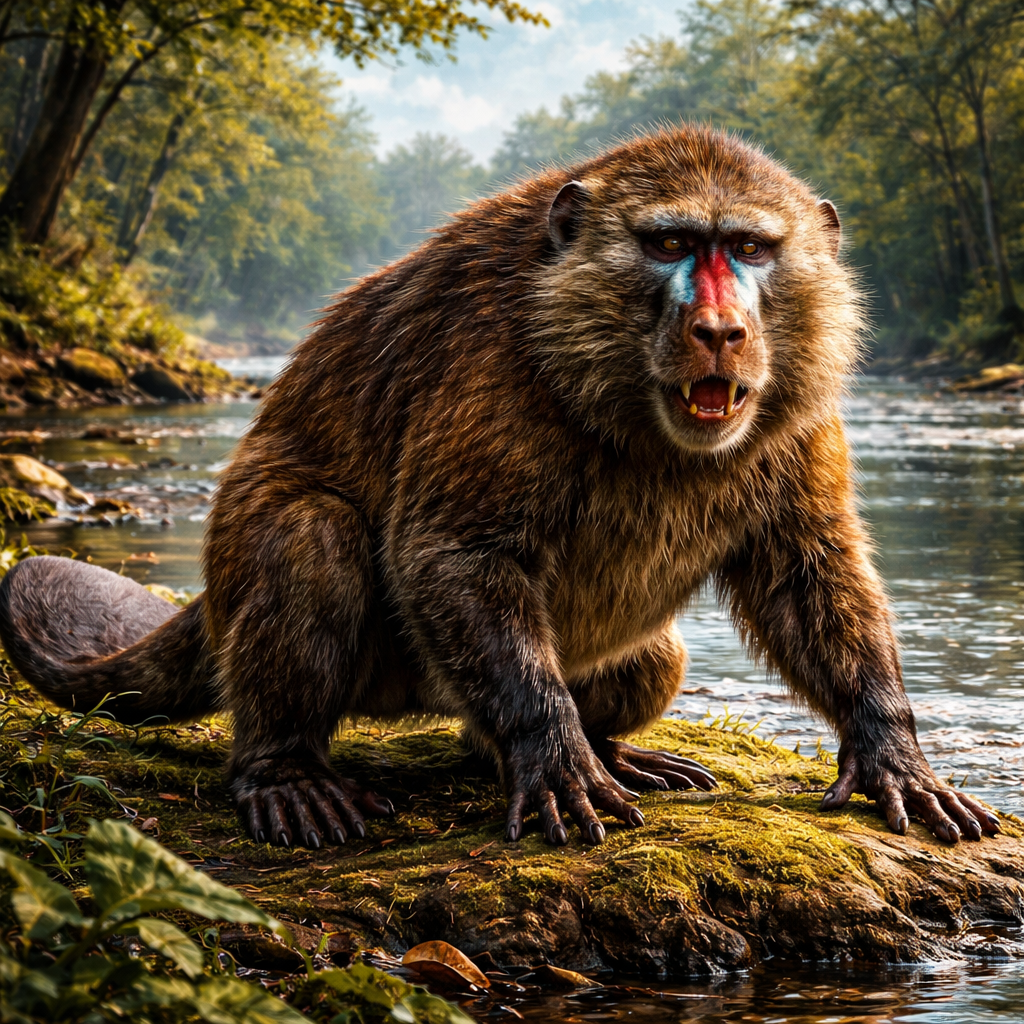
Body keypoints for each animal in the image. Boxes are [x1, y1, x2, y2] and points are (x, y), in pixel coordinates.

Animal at [0, 126, 1000, 851]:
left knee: (654, 657)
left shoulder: (797, 401)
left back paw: (618, 751)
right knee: (311, 534)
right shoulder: (492, 361)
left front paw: (893, 751)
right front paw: (551, 754)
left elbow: (810, 569)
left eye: (751, 248)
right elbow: (453, 553)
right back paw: (289, 773)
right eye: (672, 243)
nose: (720, 329)